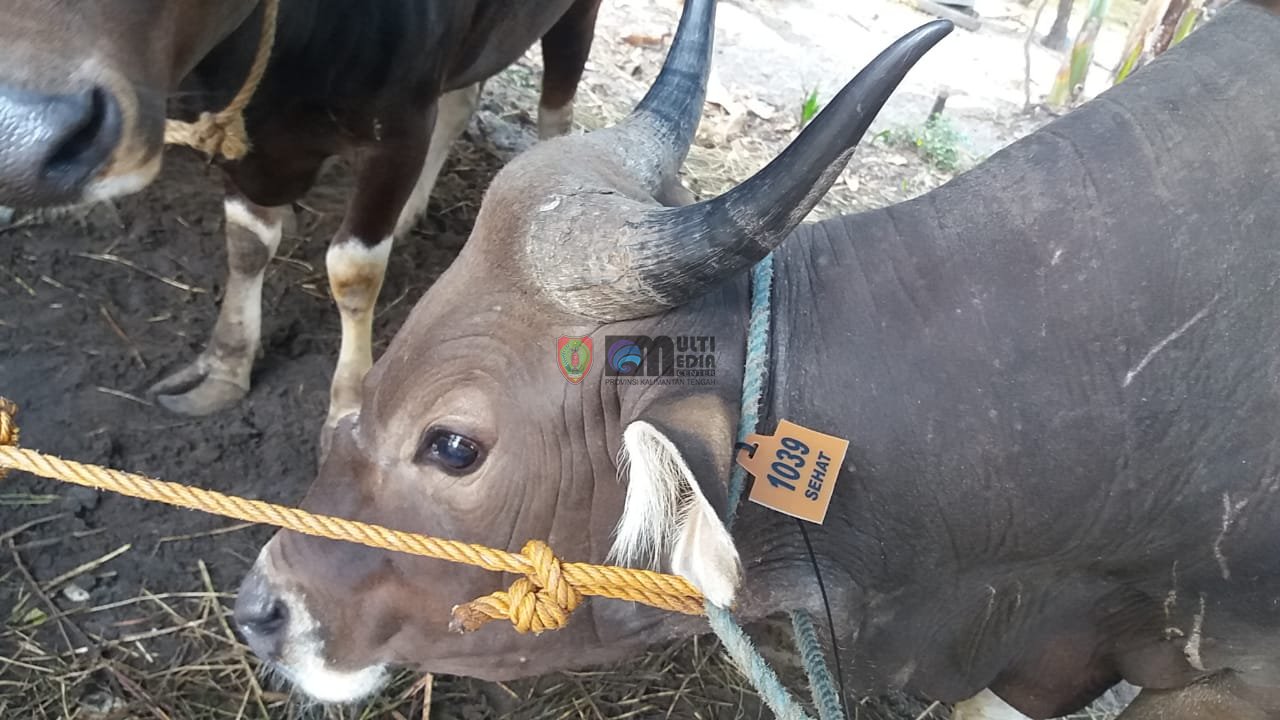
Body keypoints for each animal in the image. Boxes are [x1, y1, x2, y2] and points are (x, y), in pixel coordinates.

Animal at [0, 0, 604, 425]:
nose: (21, 139)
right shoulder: (242, 134)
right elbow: (246, 245)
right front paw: (227, 366)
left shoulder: (399, 133)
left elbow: (353, 272)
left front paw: (350, 400)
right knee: (464, 100)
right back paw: (411, 211)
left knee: (555, 114)